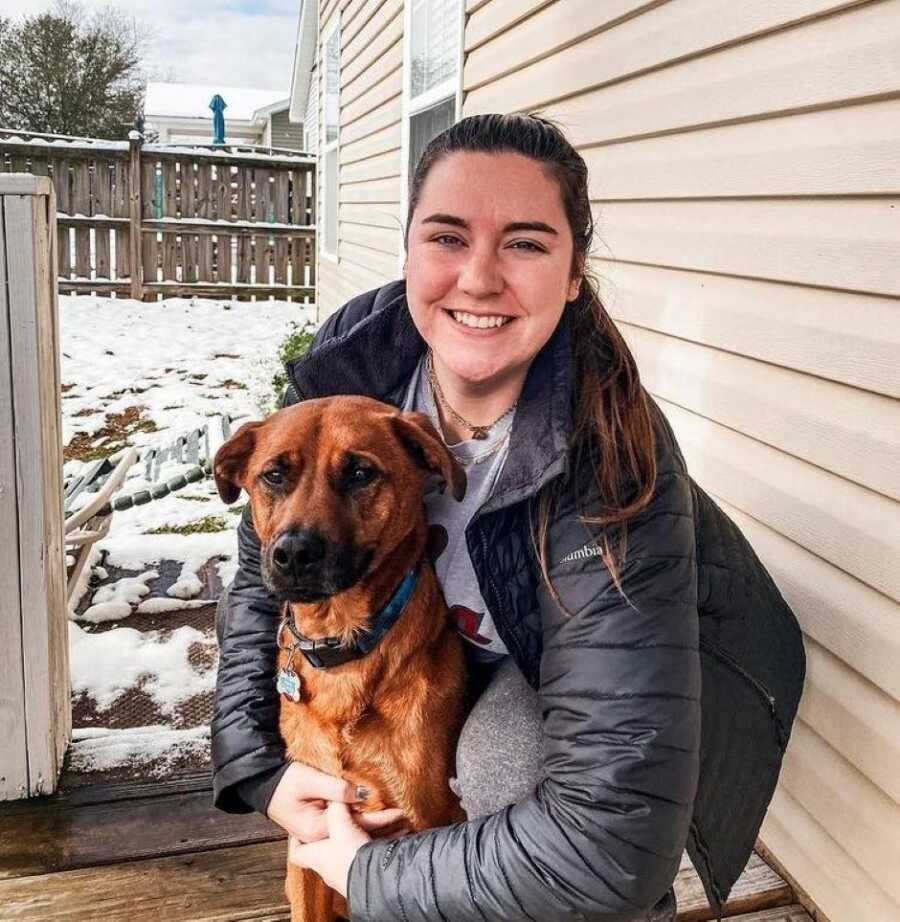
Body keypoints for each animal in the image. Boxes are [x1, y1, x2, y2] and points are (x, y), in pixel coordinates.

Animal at [214, 394, 468, 920]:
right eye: (274, 475)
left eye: (359, 472)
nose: (292, 552)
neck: (342, 641)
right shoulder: (309, 832)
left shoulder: (427, 822)